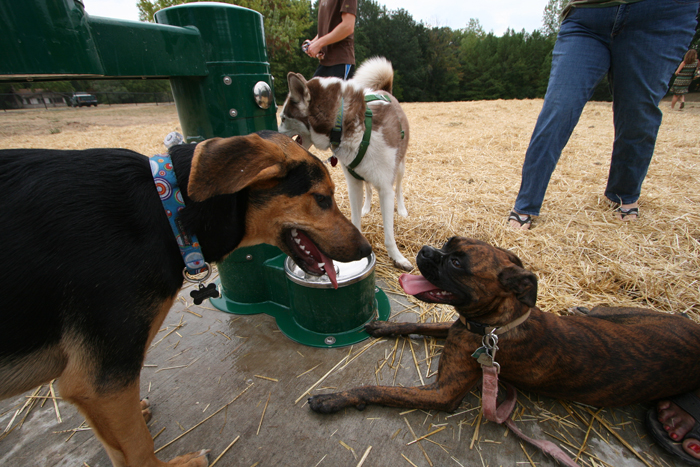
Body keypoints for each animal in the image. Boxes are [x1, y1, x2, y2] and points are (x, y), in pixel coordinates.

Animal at [0, 133, 372, 467]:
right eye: (322, 198)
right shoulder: (101, 379)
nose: (366, 249)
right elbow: (138, 449)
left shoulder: (101, 388)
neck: (167, 208)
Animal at [278, 56, 412, 270]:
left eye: (283, 118)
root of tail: (385, 90)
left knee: (398, 188)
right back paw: (366, 207)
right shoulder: (353, 182)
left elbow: (389, 233)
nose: (270, 133)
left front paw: (397, 257)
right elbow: (355, 219)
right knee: (368, 188)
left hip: (399, 167)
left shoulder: (385, 187)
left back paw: (401, 209)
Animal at [308, 239, 700, 414]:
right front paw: (383, 327)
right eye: (447, 245)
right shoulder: (459, 327)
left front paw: (334, 398)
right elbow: (416, 325)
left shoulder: (442, 393)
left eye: (455, 262)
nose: (426, 249)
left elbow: (378, 389)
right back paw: (584, 308)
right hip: (623, 315)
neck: (495, 326)